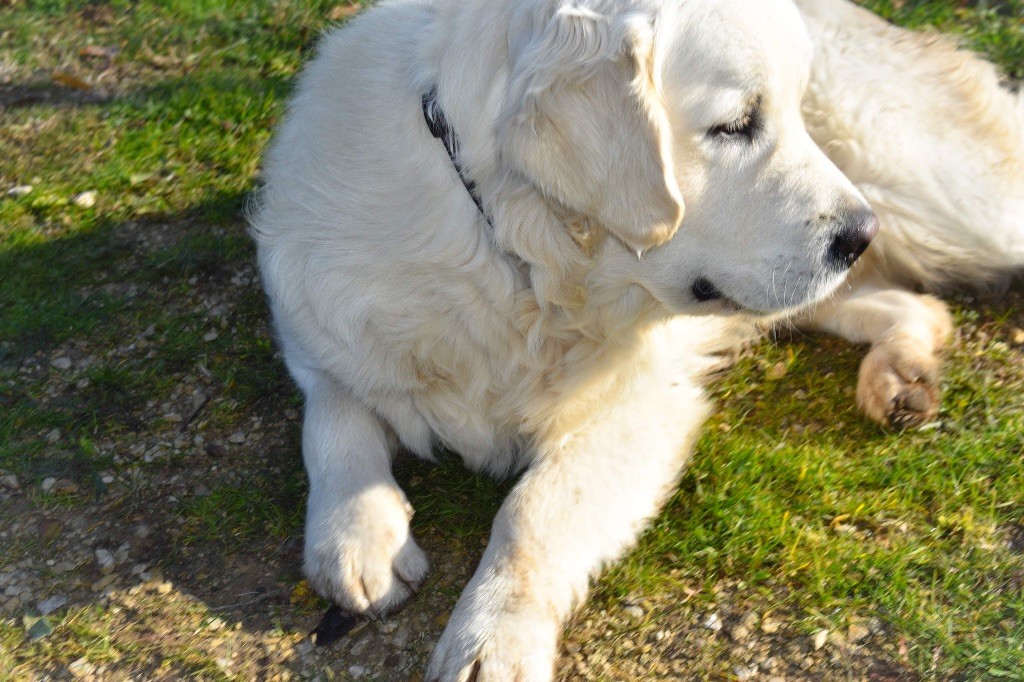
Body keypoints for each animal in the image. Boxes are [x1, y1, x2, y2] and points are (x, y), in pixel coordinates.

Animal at [249, 0, 1024, 675]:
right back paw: (901, 376)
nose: (859, 234)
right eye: (735, 125)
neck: (520, 260)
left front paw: (491, 639)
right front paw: (355, 534)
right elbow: (333, 412)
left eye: (790, 111)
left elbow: (532, 511)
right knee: (916, 306)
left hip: (933, 198)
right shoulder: (321, 316)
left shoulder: (644, 405)